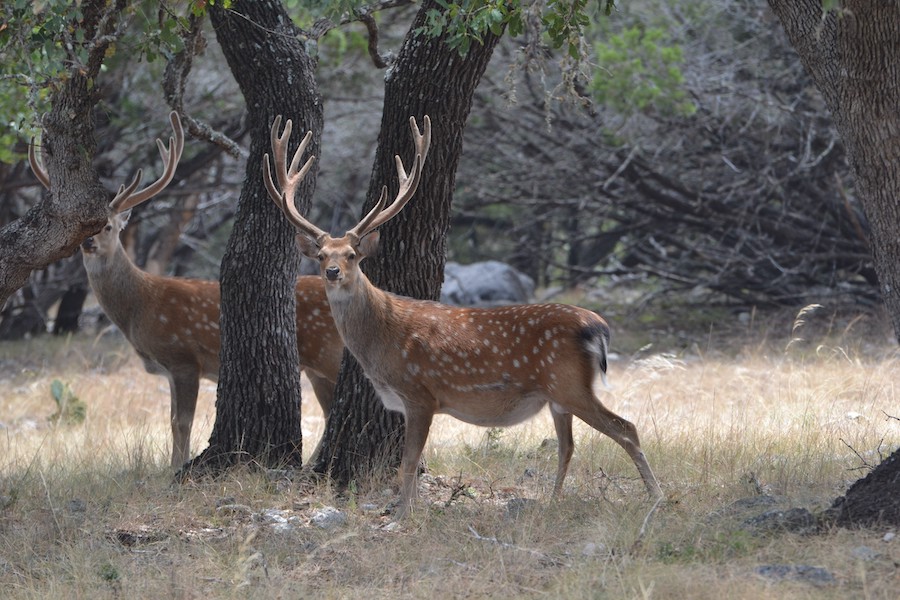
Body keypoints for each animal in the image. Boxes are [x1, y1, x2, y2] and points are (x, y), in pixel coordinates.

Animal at [29, 112, 342, 468]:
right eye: (87, 228)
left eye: (107, 227)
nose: (87, 243)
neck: (141, 307)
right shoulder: (169, 370)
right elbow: (171, 420)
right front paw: (173, 464)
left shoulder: (183, 357)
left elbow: (182, 422)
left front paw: (177, 467)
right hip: (317, 366)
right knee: (330, 412)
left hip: (328, 352)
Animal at [264, 113, 664, 516]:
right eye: (321, 255)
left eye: (352, 255)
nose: (332, 272)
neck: (383, 342)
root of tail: (597, 326)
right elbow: (412, 463)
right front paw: (409, 509)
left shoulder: (419, 392)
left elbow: (409, 461)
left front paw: (405, 514)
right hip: (559, 396)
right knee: (569, 446)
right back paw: (553, 502)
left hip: (569, 383)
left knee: (626, 428)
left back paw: (657, 496)